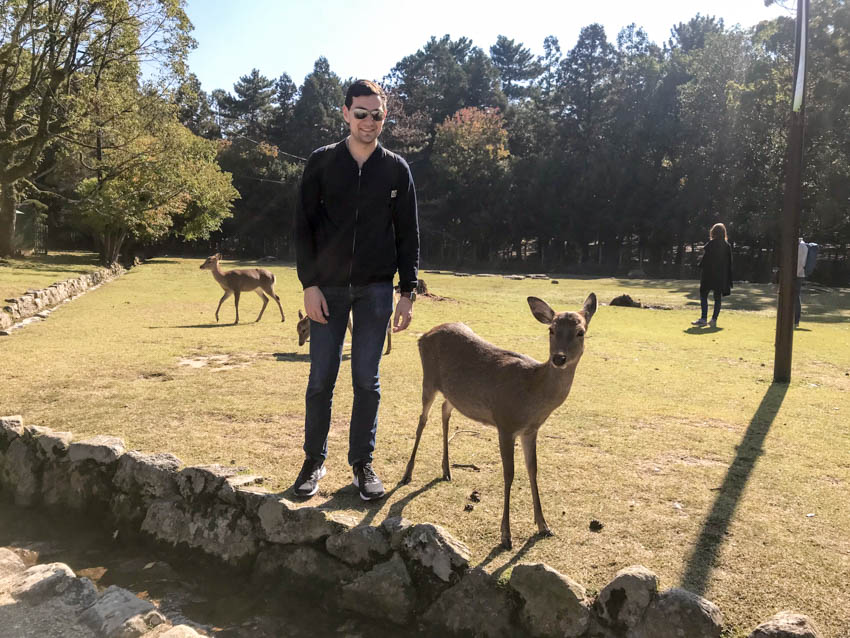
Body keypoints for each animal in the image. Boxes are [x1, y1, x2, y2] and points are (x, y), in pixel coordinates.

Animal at [402, 296, 596, 552]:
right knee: (422, 420)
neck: (532, 393)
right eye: (551, 329)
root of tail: (423, 336)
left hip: (453, 393)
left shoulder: (530, 430)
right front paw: (506, 536)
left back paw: (446, 470)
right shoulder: (505, 423)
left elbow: (533, 469)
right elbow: (509, 473)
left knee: (445, 411)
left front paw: (544, 526)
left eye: (581, 332)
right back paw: (407, 474)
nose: (559, 358)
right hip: (428, 380)